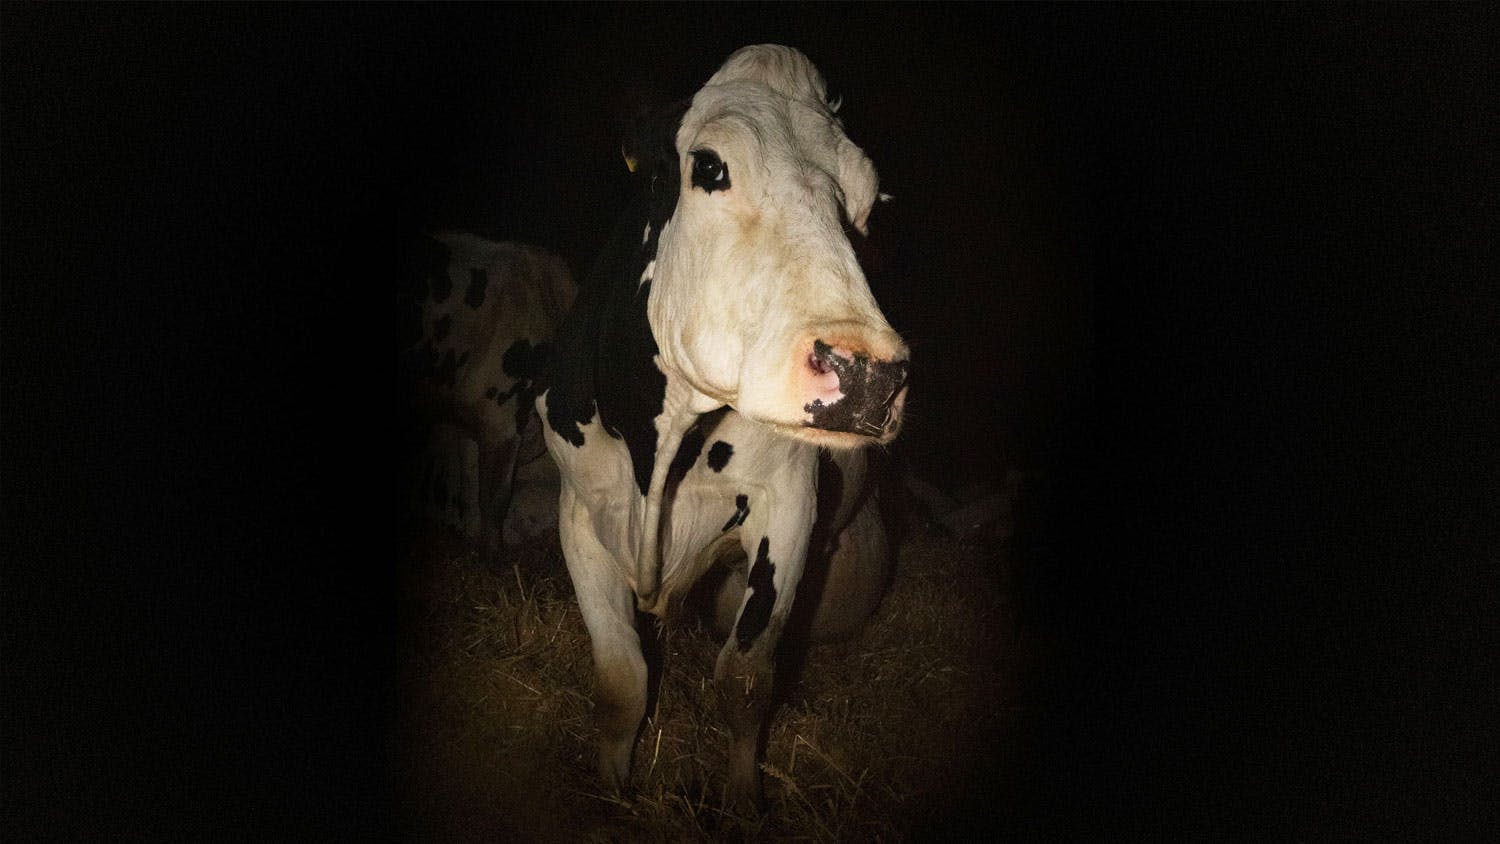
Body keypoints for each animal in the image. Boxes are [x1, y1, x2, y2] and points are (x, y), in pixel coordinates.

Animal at [536, 45, 910, 810]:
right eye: (709, 166)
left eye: (866, 202)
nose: (869, 375)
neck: (658, 453)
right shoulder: (578, 510)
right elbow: (621, 681)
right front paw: (613, 792)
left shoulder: (788, 505)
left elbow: (743, 679)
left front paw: (741, 803)